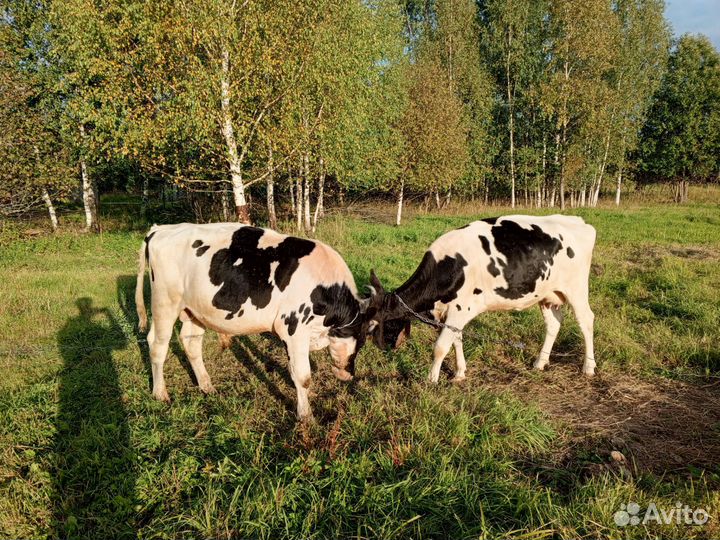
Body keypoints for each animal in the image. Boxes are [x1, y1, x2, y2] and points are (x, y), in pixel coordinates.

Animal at [135, 223, 373, 421]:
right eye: (361, 340)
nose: (348, 374)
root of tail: (161, 229)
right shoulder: (294, 329)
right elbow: (303, 375)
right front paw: (306, 416)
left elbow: (297, 374)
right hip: (165, 303)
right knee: (157, 346)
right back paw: (160, 393)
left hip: (194, 310)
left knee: (191, 343)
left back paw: (206, 386)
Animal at [366, 215, 596, 381]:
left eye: (373, 326)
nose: (381, 348)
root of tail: (580, 222)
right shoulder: (452, 312)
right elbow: (456, 340)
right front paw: (459, 373)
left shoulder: (459, 310)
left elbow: (440, 347)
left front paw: (431, 380)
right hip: (548, 295)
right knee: (554, 325)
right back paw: (540, 362)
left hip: (576, 289)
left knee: (586, 320)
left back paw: (588, 367)